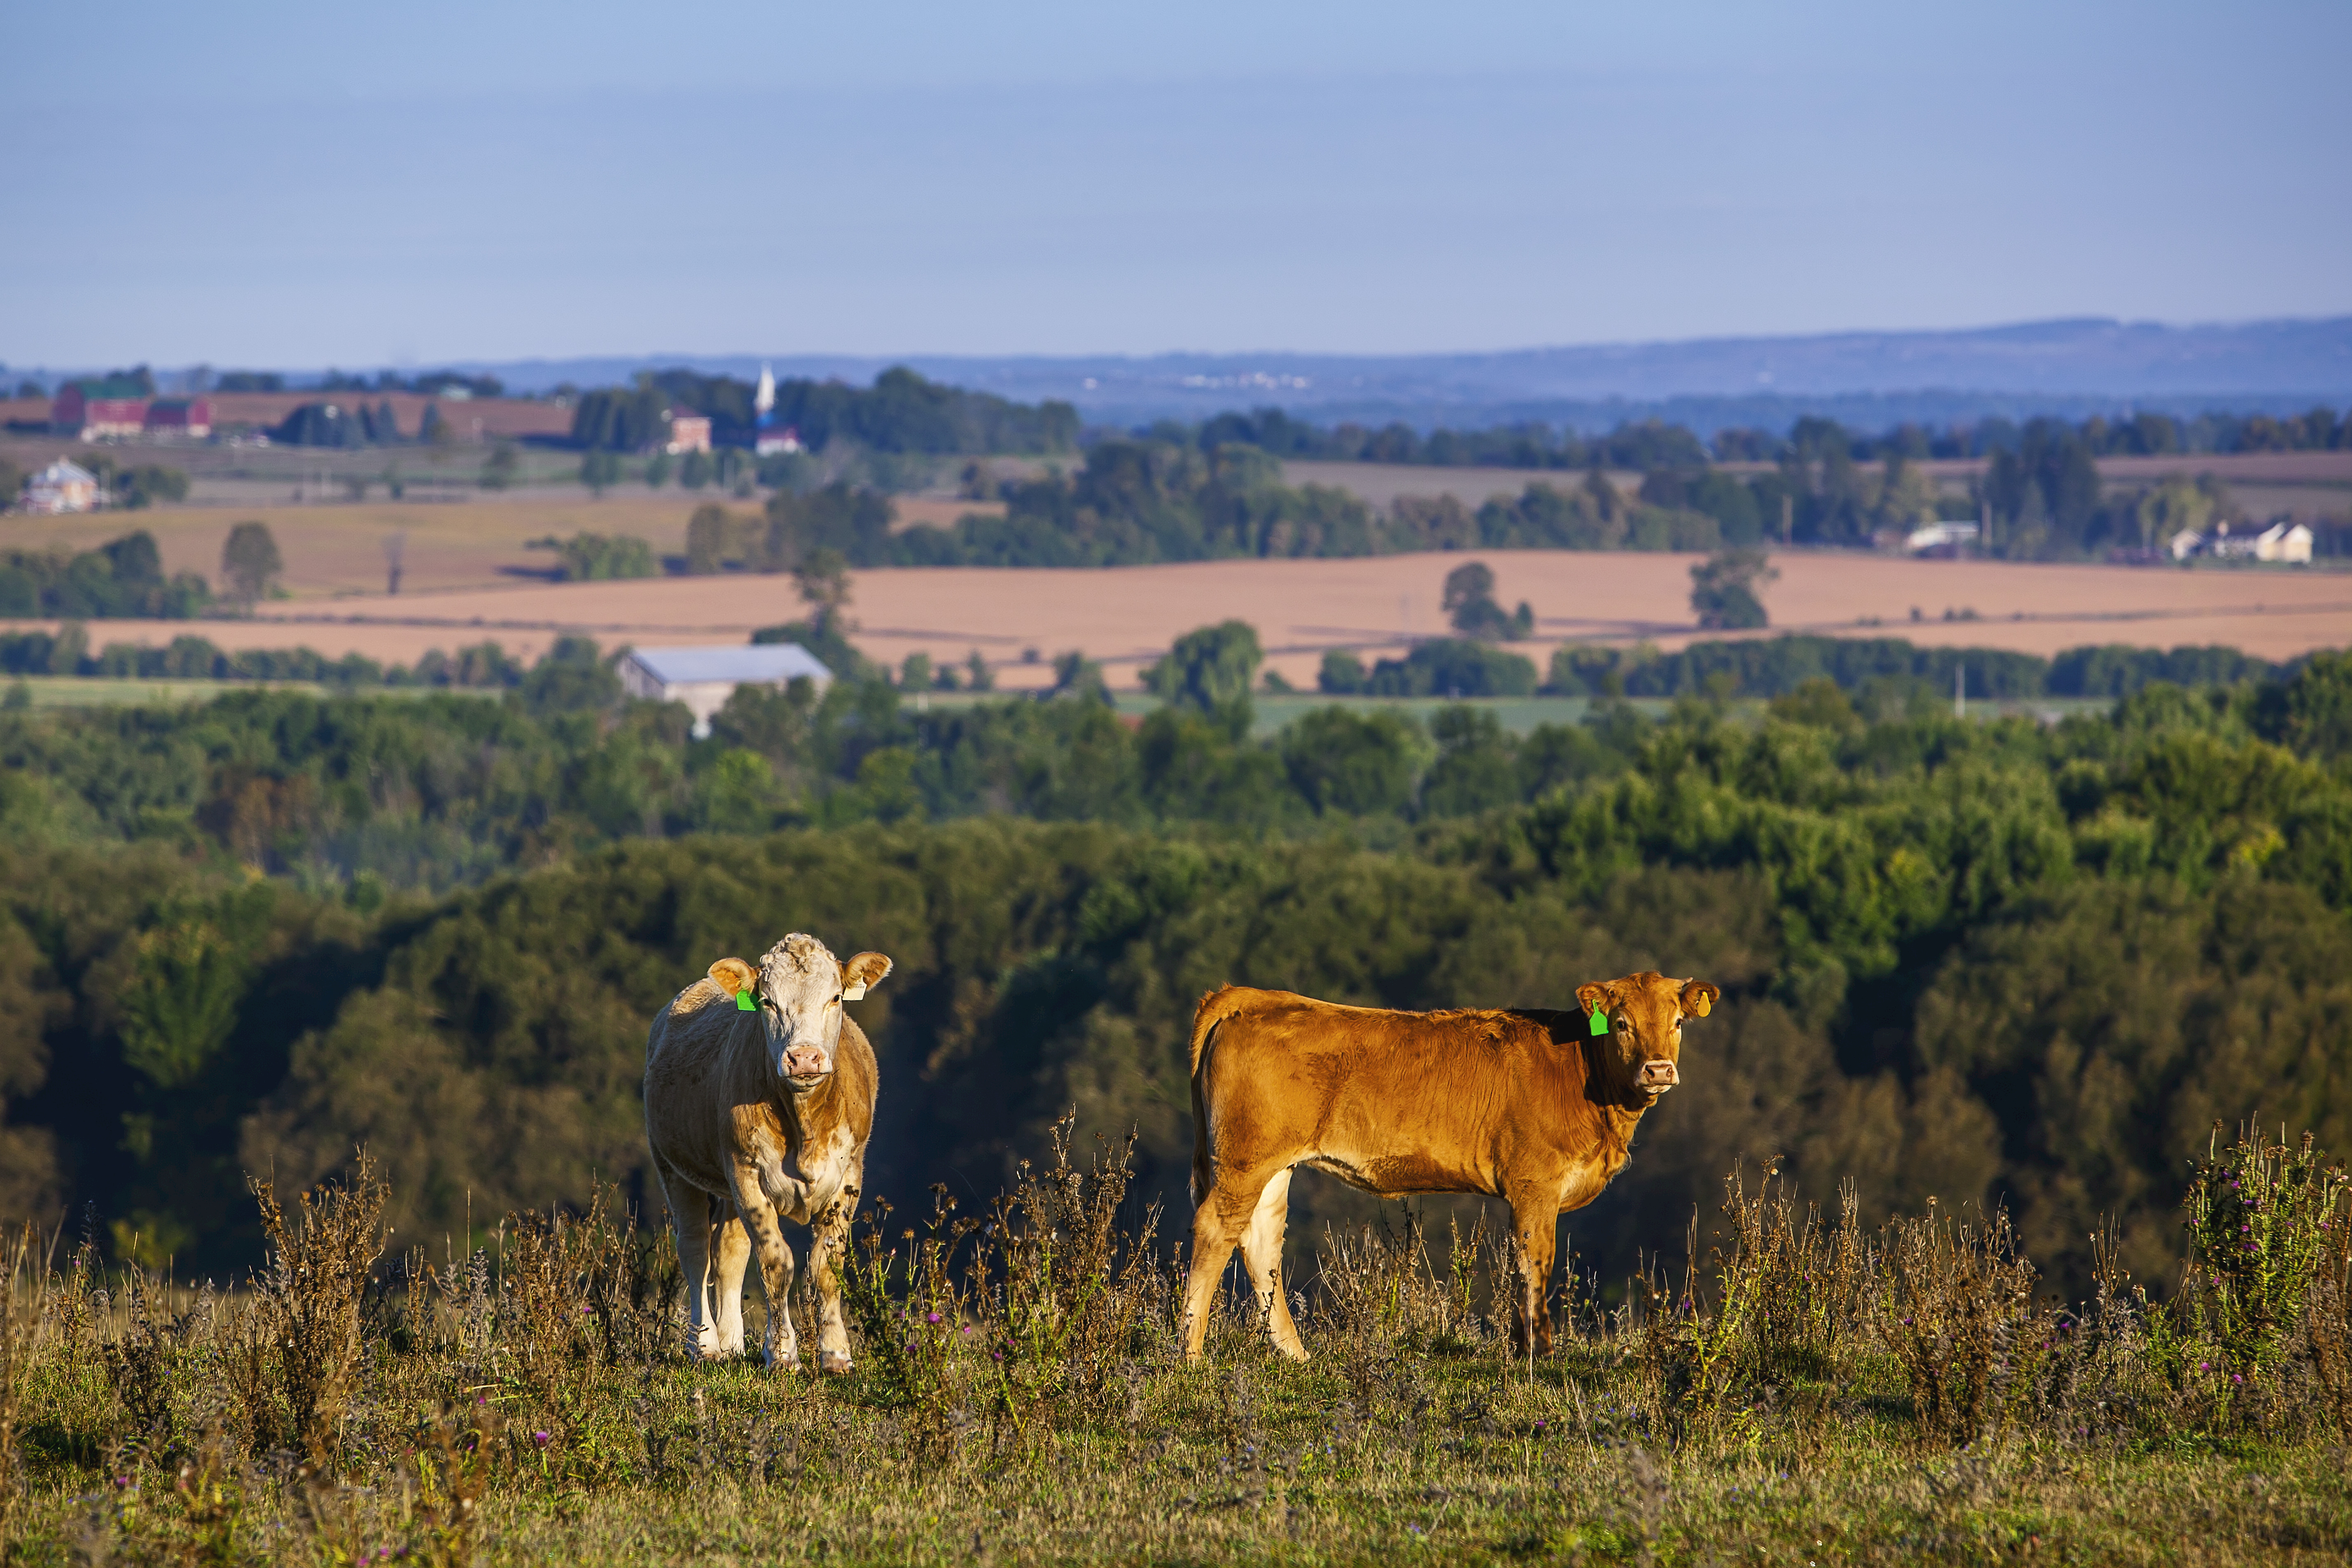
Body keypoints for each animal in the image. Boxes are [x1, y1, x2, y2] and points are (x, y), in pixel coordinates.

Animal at [643, 933, 893, 1371]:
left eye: (836, 997)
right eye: (767, 1002)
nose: (804, 1057)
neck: (804, 1124)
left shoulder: (850, 1174)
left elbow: (827, 1265)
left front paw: (836, 1354)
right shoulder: (746, 1171)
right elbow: (776, 1262)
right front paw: (782, 1354)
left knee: (728, 1252)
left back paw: (731, 1343)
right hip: (672, 1164)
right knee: (695, 1250)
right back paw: (704, 1344)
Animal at [1180, 970, 1717, 1362]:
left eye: (1677, 1022)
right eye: (1622, 1023)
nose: (1658, 1070)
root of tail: (1253, 998)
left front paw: (1521, 1348)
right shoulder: (1535, 1183)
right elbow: (1534, 1262)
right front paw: (1538, 1354)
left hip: (1273, 1165)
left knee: (1260, 1243)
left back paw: (1296, 1356)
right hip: (1245, 1160)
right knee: (1215, 1230)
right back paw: (1190, 1355)